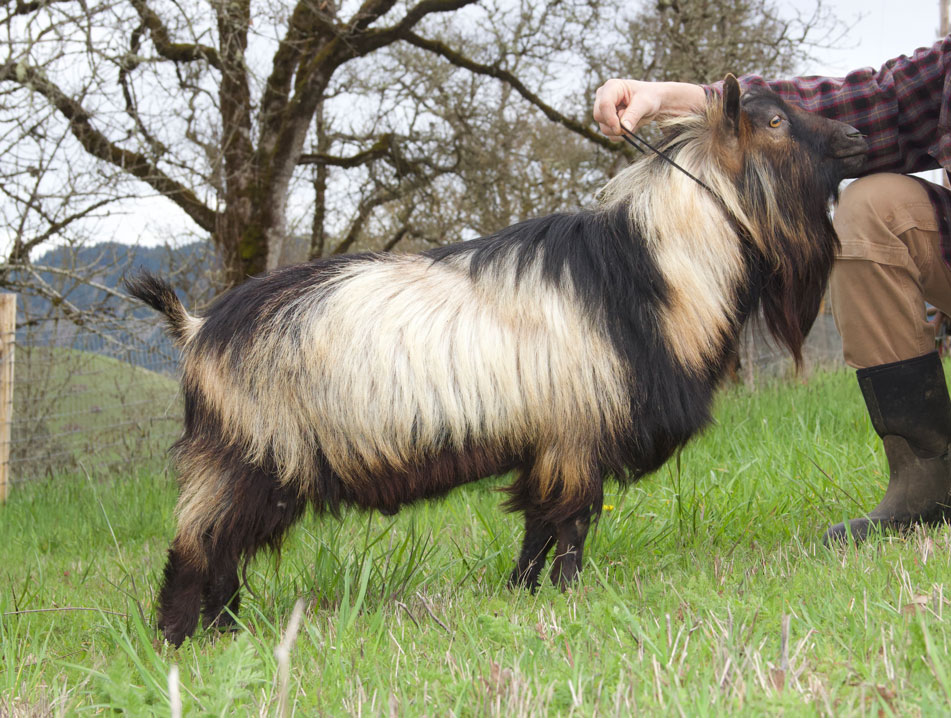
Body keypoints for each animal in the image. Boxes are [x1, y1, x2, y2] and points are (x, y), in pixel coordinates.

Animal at [128, 77, 872, 648]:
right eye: (774, 121)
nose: (857, 138)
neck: (656, 268)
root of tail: (197, 328)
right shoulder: (577, 432)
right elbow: (570, 524)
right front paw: (569, 597)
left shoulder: (547, 441)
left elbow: (538, 527)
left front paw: (519, 594)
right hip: (246, 458)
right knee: (197, 548)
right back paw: (179, 640)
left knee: (223, 554)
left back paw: (225, 633)